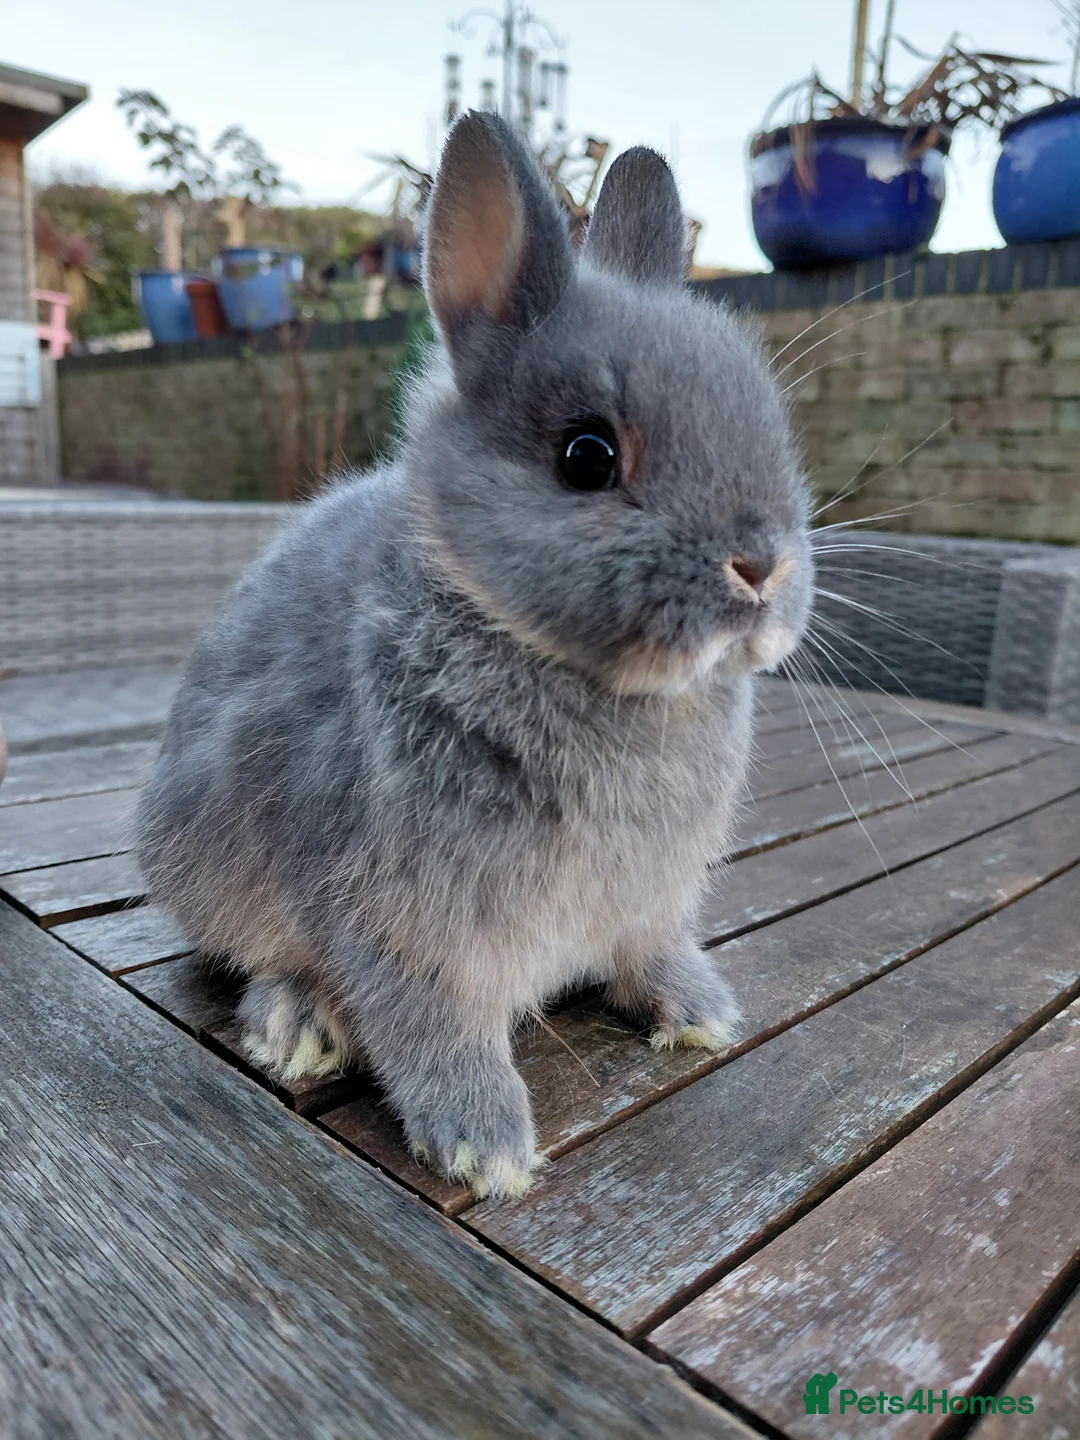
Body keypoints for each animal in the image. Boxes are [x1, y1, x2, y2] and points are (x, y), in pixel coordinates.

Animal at [136, 111, 813, 1200]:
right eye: (588, 456)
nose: (760, 566)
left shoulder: (647, 905)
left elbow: (649, 952)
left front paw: (699, 1013)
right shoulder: (403, 926)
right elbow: (434, 1029)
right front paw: (485, 1150)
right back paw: (297, 1026)